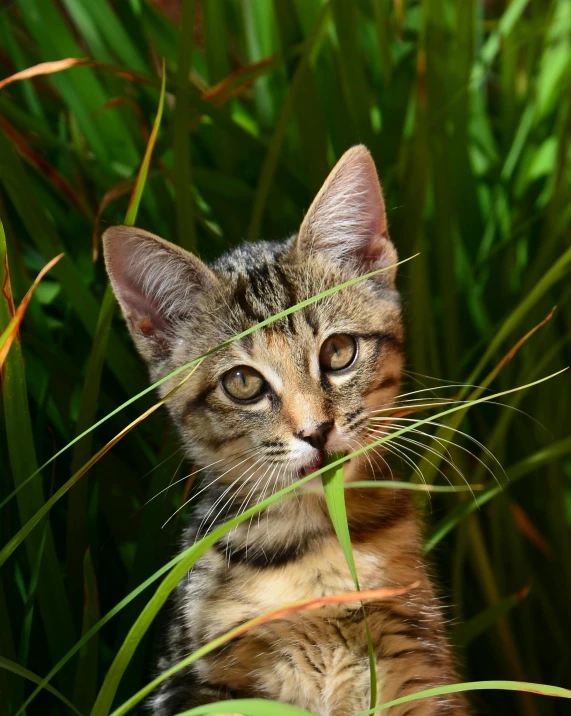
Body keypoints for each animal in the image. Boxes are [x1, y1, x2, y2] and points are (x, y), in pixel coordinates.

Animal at [105, 147, 466, 716]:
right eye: (243, 383)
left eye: (338, 351)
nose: (316, 430)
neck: (319, 547)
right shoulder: (198, 681)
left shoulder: (418, 662)